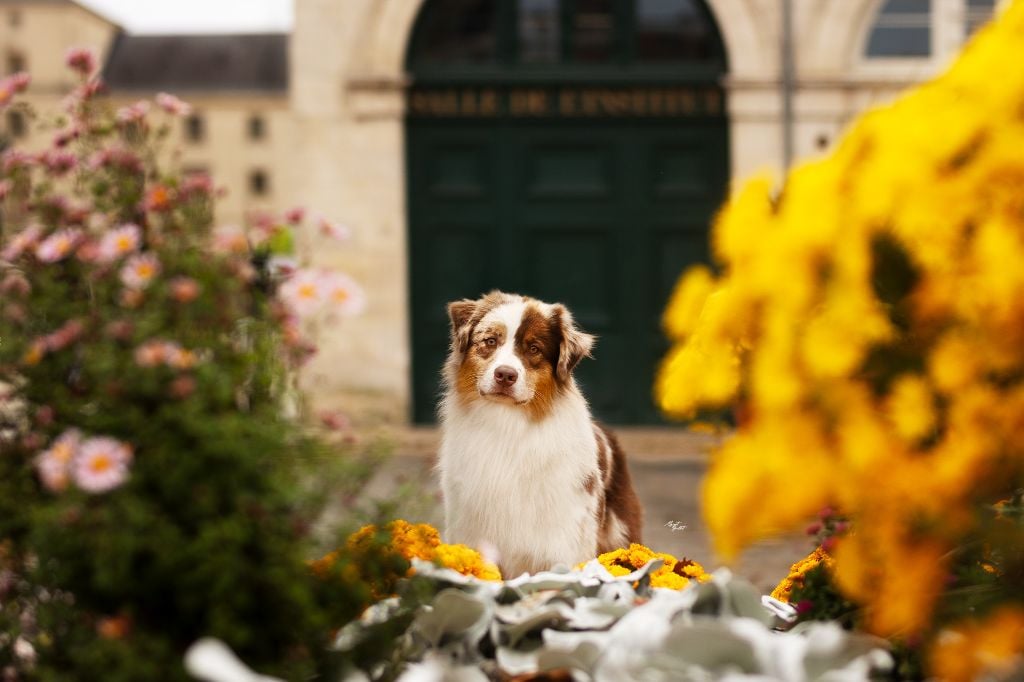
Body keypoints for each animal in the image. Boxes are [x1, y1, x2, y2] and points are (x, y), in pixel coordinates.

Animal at [438, 288, 643, 577]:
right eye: (490, 341)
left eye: (534, 349)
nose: (505, 375)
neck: (507, 424)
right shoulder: (470, 533)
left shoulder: (563, 544)